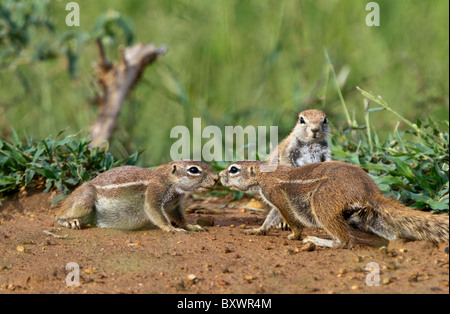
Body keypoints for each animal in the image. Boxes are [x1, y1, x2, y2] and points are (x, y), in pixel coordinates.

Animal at [55, 161, 221, 232]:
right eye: (193, 170)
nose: (216, 178)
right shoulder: (155, 193)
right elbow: (156, 213)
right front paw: (172, 229)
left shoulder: (174, 206)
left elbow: (180, 218)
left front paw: (191, 226)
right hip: (85, 202)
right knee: (59, 216)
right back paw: (70, 222)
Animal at [220, 161, 448, 247]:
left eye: (233, 169)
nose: (220, 176)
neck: (263, 173)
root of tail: (368, 191)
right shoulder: (276, 202)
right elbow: (272, 217)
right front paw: (258, 230)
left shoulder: (274, 193)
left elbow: (288, 216)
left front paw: (295, 235)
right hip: (368, 214)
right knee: (390, 232)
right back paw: (395, 242)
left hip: (323, 202)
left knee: (345, 241)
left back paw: (321, 241)